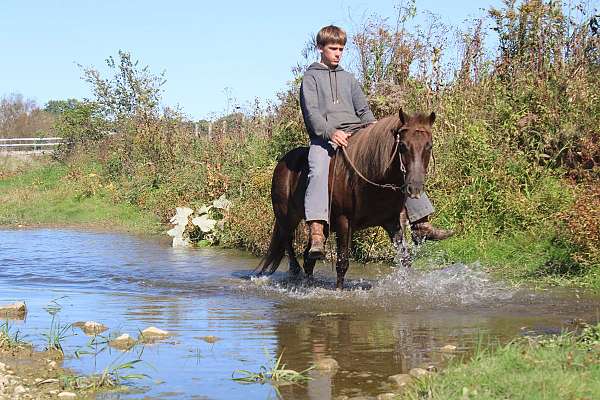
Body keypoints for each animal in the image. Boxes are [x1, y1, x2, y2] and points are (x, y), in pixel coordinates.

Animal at [255, 108, 434, 290]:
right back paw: (294, 271)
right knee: (288, 244)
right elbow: (342, 263)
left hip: (322, 226)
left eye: (429, 146)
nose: (415, 188)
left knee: (308, 258)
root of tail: (281, 164)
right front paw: (339, 291)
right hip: (287, 218)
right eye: (403, 146)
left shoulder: (392, 222)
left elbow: (405, 259)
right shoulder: (344, 221)